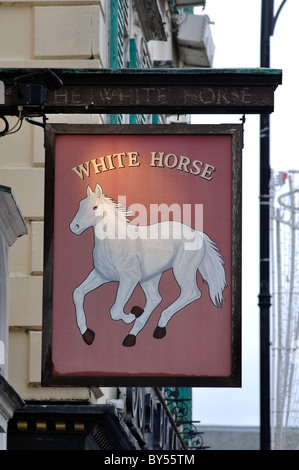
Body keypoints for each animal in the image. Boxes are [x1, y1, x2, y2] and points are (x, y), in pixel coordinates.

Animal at [69, 184, 227, 346]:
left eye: (95, 207)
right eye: (80, 204)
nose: (74, 227)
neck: (114, 241)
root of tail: (198, 234)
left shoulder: (129, 278)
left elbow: (115, 310)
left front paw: (130, 316)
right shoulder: (101, 275)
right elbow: (78, 293)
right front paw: (87, 334)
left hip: (182, 271)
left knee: (191, 293)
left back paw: (155, 325)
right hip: (149, 278)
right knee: (155, 298)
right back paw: (135, 333)